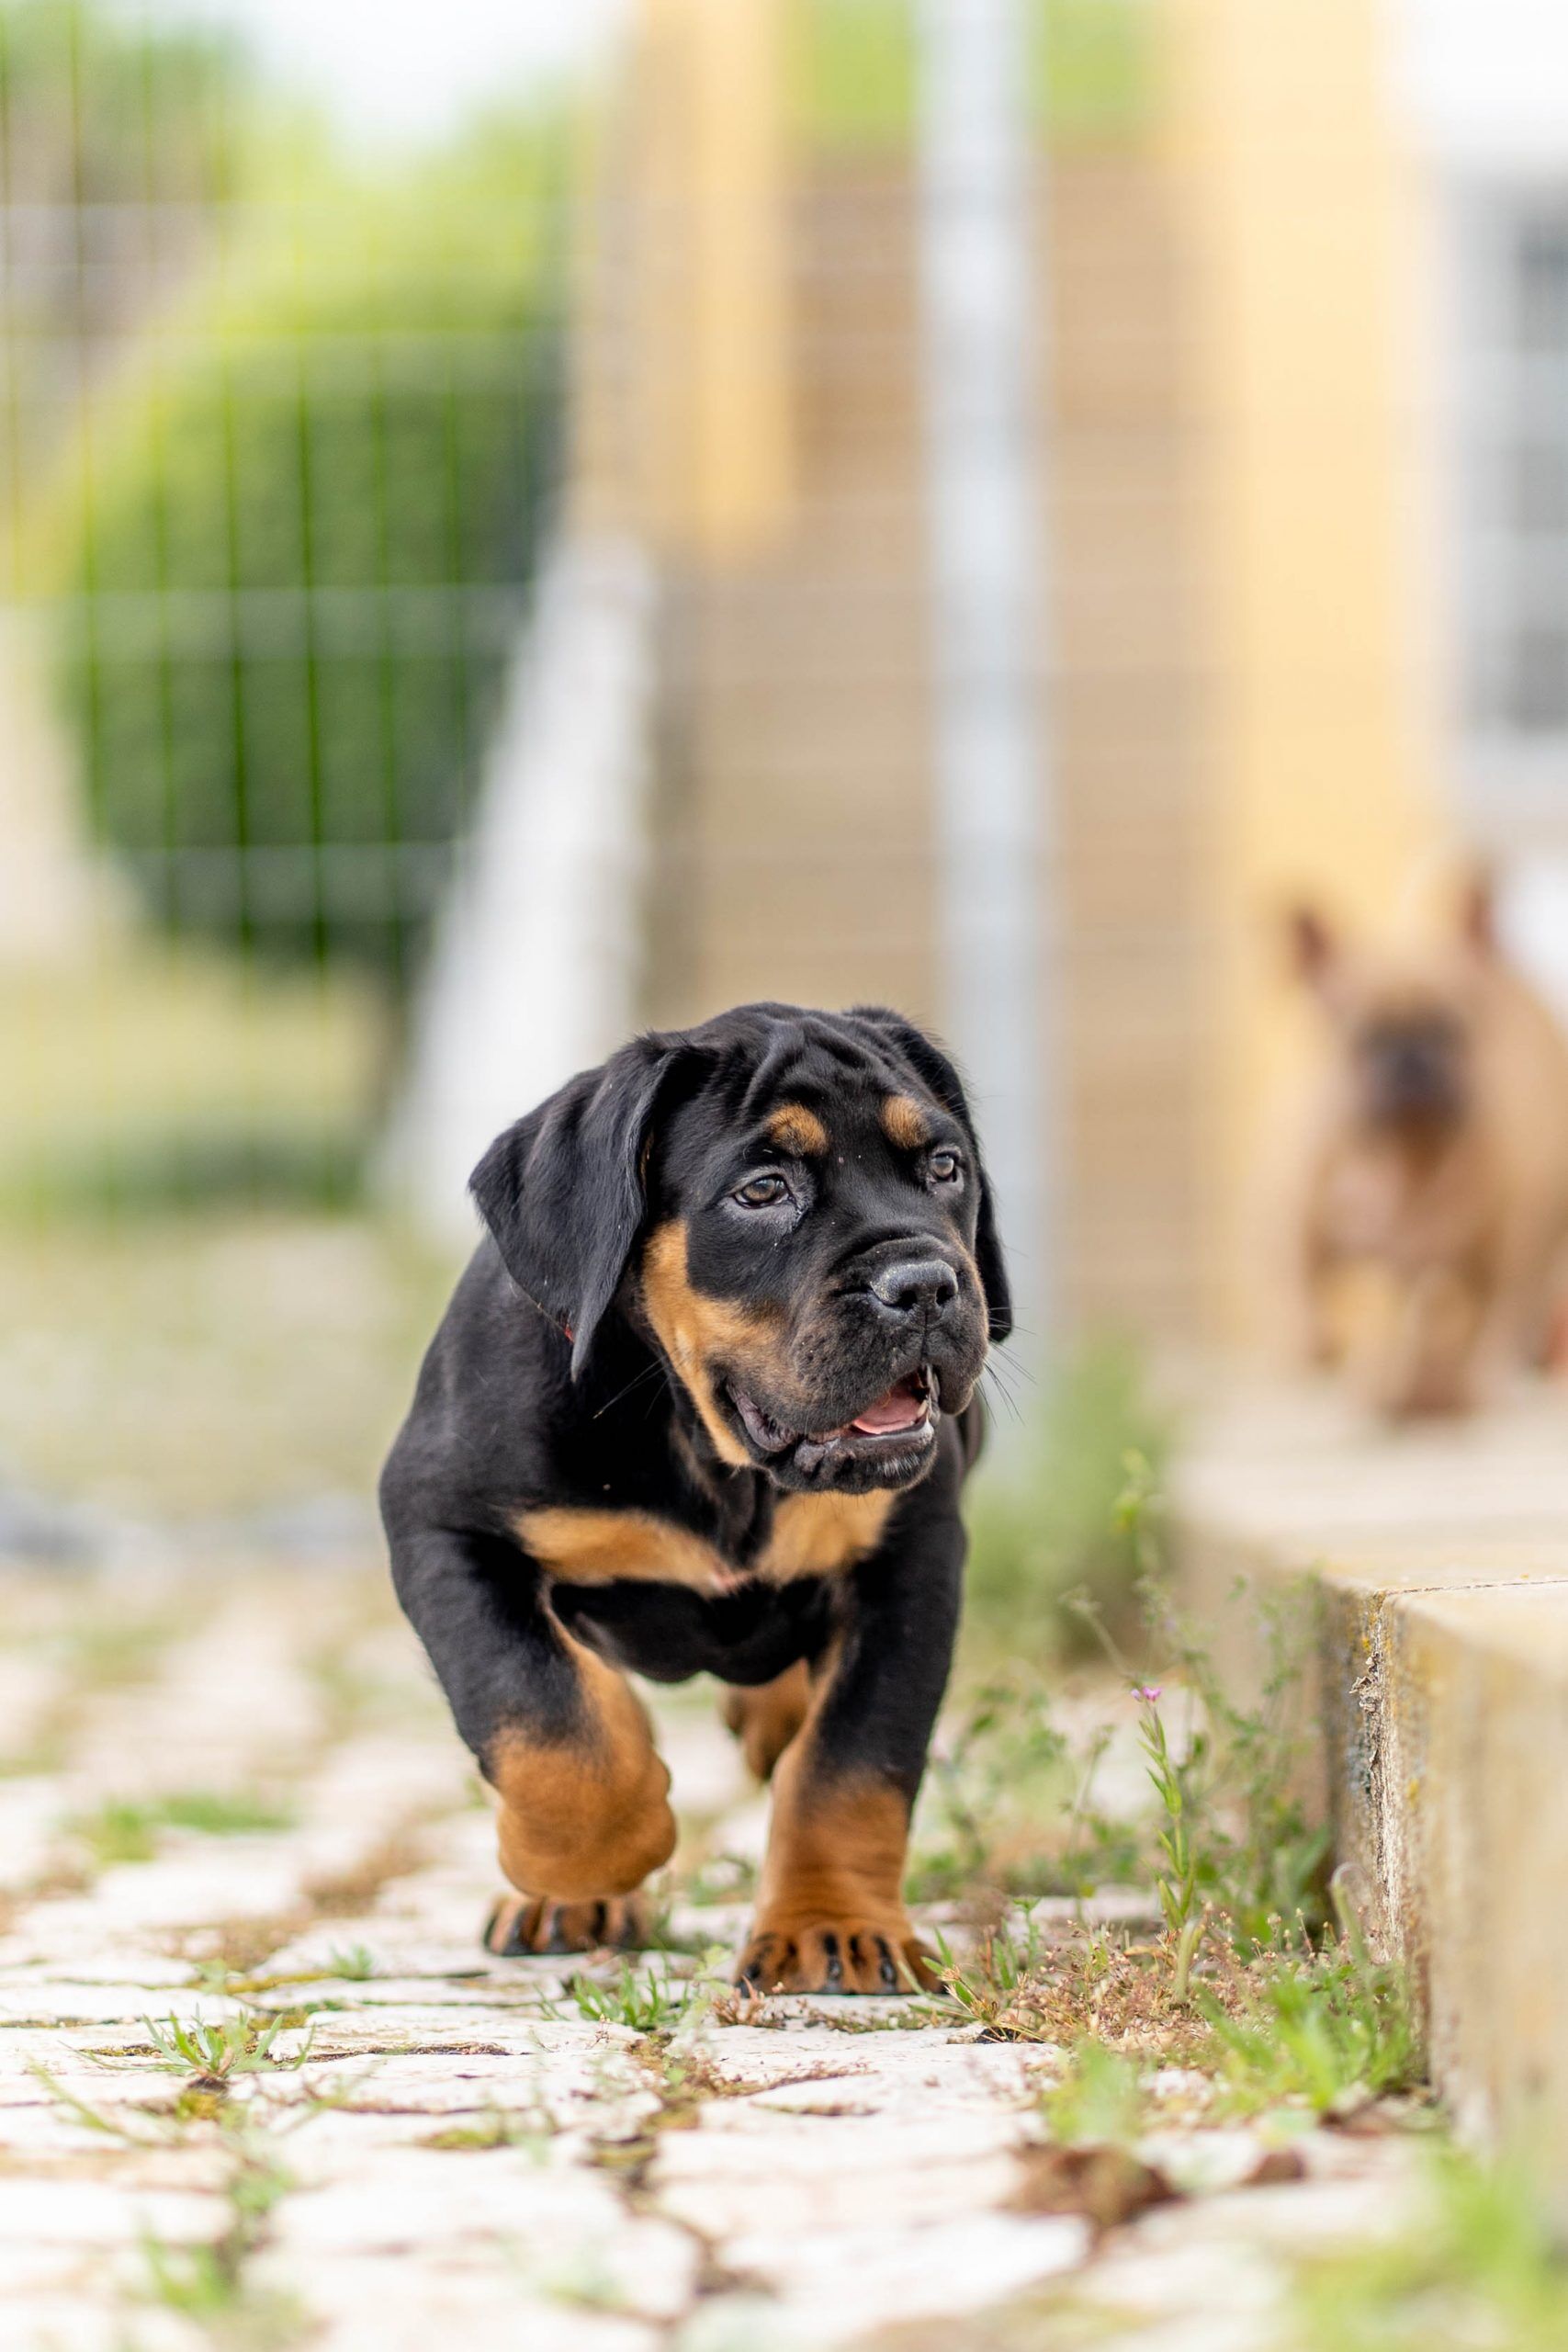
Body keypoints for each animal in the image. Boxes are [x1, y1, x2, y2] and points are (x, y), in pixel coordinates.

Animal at [385, 1001, 1010, 1994]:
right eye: (762, 1191)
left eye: (944, 1167)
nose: (924, 1285)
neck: (711, 1456)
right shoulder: (442, 1528)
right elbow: (542, 1711)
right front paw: (580, 1861)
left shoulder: (910, 1564)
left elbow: (853, 1763)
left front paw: (832, 1926)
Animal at [1279, 884, 1568, 1411]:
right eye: (1362, 1033)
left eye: (1450, 1026)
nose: (1409, 1055)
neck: (1403, 1156)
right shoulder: (1289, 1225)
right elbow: (1302, 1301)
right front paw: (1319, 1351)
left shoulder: (1493, 1249)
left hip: (1521, 1238)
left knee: (1500, 1315)